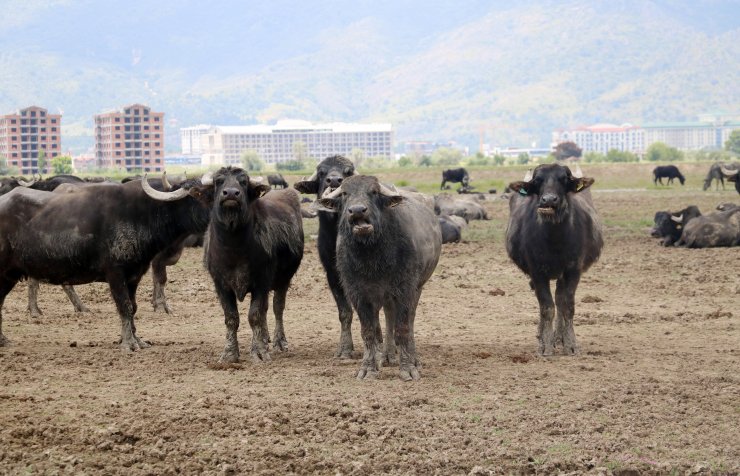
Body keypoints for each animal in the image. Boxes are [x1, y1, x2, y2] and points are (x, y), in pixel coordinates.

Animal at [0, 176, 211, 350]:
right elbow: (124, 306)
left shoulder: (134, 276)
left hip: (10, 275)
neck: (143, 214)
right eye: (197, 194)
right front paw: (128, 343)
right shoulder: (115, 273)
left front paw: (137, 339)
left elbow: (133, 307)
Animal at [202, 165, 304, 362]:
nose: (231, 193)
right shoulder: (220, 284)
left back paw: (279, 342)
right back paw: (263, 339)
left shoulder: (261, 282)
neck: (233, 249)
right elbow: (231, 318)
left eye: (243, 182)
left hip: (284, 279)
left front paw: (259, 353)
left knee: (277, 307)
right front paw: (229, 354)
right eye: (219, 181)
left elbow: (254, 315)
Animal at [294, 154, 356, 358]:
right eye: (322, 173)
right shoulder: (332, 274)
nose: (335, 181)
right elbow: (345, 311)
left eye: (348, 172)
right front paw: (345, 349)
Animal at [316, 175, 440, 380]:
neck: (372, 258)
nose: (357, 210)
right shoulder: (358, 294)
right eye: (344, 193)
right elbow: (369, 331)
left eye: (373, 192)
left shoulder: (405, 289)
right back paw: (387, 356)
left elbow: (403, 328)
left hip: (417, 288)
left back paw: (411, 358)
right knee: (388, 317)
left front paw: (408, 368)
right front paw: (368, 368)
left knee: (409, 321)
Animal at [506, 164, 604, 354]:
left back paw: (559, 337)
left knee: (559, 299)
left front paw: (571, 344)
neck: (555, 240)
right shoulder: (537, 272)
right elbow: (546, 307)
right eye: (538, 181)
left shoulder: (573, 270)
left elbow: (567, 306)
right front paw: (545, 344)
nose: (549, 200)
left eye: (564, 179)